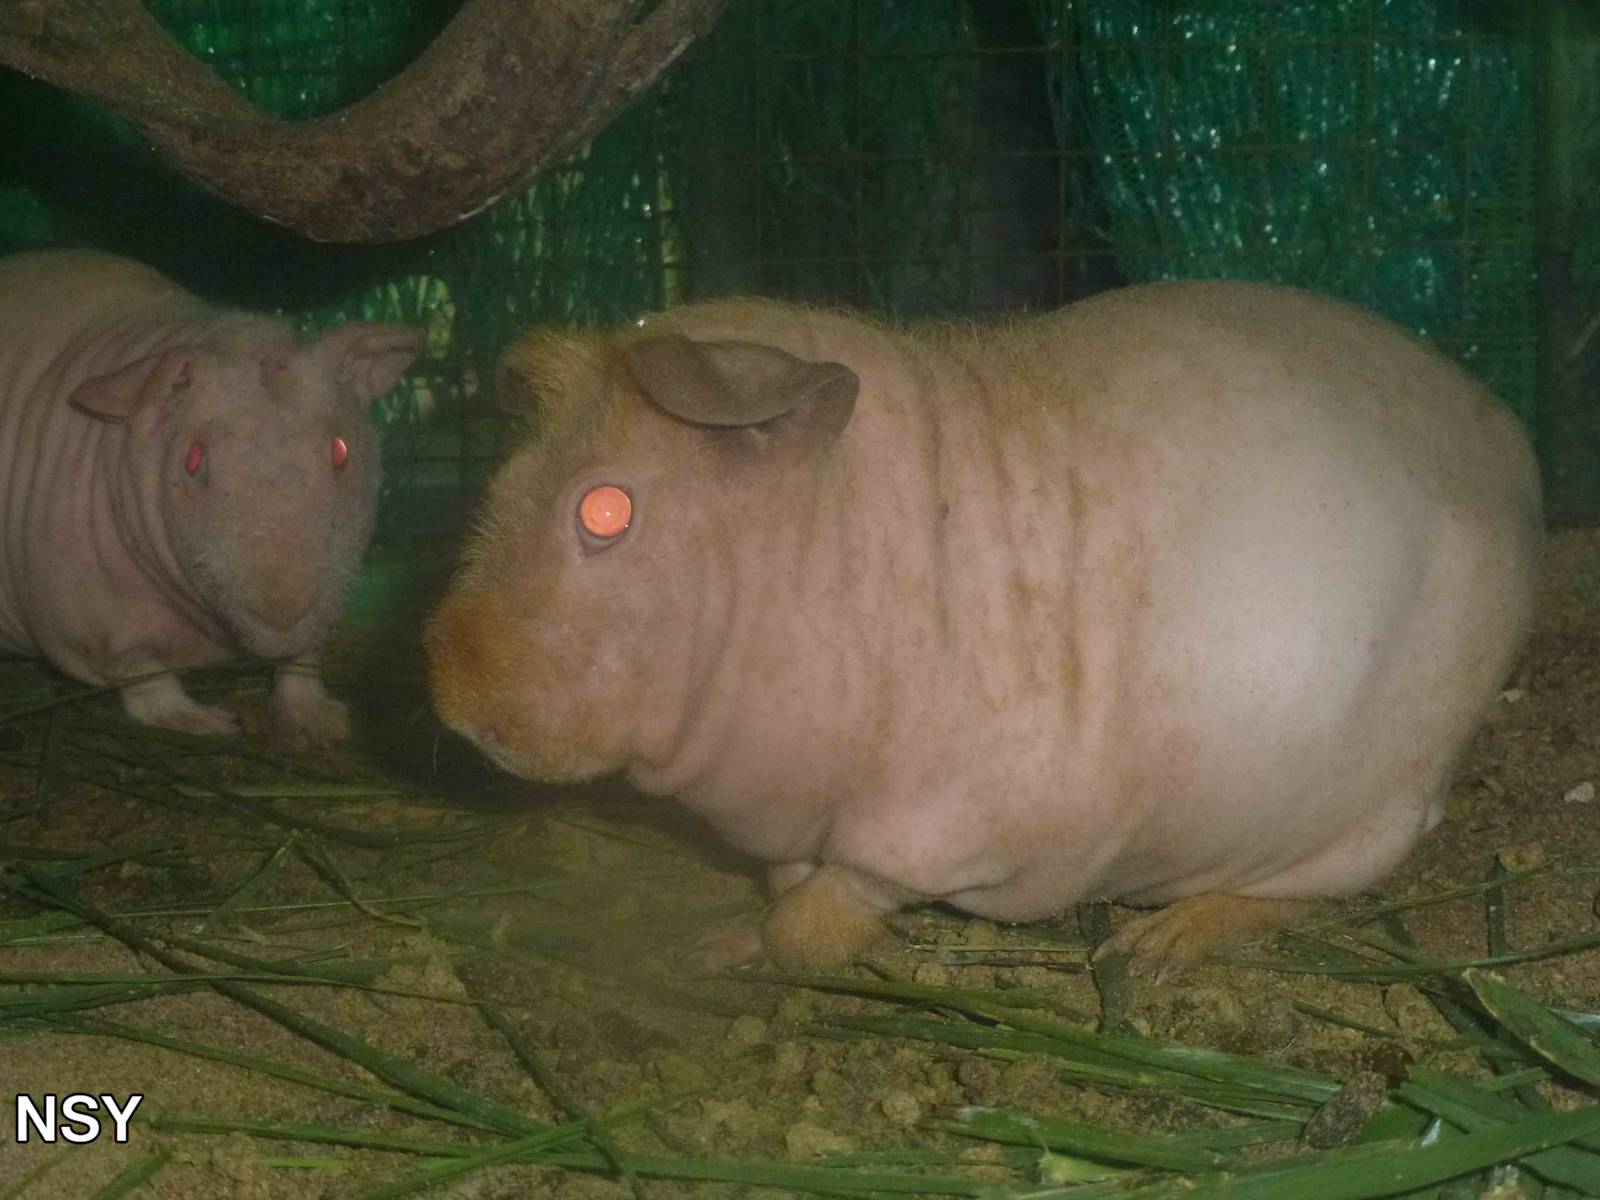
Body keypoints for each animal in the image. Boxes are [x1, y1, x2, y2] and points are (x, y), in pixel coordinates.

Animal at [0, 250, 419, 743]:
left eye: (341, 450)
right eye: (193, 459)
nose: (283, 611)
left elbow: (303, 659)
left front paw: (318, 716)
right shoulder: (92, 624)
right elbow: (143, 677)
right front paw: (207, 722)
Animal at [425, 283, 1541, 976]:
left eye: (605, 511)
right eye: (502, 481)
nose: (449, 690)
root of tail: (1509, 452)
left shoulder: (930, 827)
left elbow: (812, 923)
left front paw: (740, 953)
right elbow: (788, 891)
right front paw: (722, 941)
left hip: (1369, 819)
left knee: (1298, 892)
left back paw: (1154, 949)